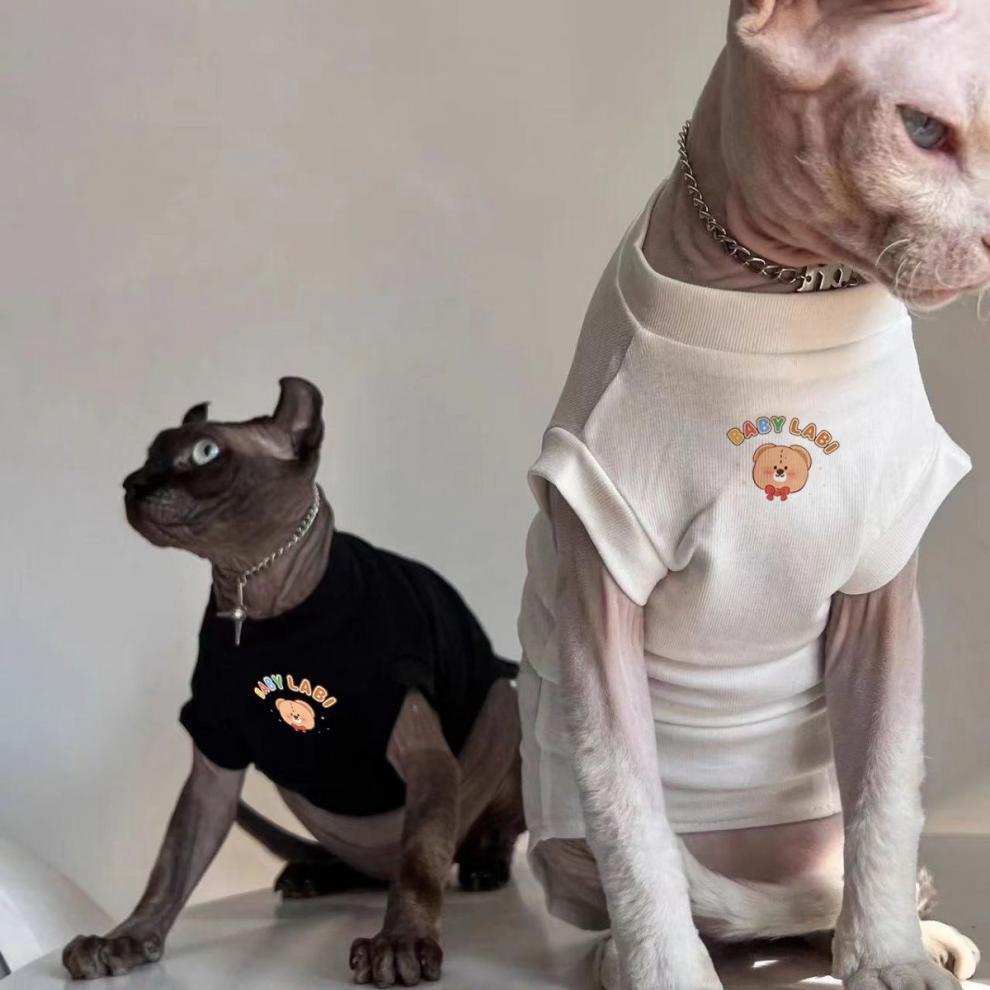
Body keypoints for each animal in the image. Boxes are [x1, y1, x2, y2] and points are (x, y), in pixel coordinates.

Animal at [62, 377, 524, 985]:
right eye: (151, 453)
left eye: (205, 453)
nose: (133, 484)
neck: (254, 599)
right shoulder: (214, 760)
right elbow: (168, 870)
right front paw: (125, 939)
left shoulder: (427, 758)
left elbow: (419, 864)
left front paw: (399, 942)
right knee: (373, 868)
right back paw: (314, 872)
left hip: (504, 705)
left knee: (466, 837)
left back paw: (483, 864)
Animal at [518, 2, 987, 989]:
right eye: (923, 131)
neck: (781, 293)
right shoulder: (598, 572)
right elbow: (630, 814)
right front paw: (664, 971)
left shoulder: (883, 587)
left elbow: (887, 790)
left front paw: (887, 955)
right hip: (555, 818)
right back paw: (626, 953)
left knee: (819, 879)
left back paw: (898, 931)